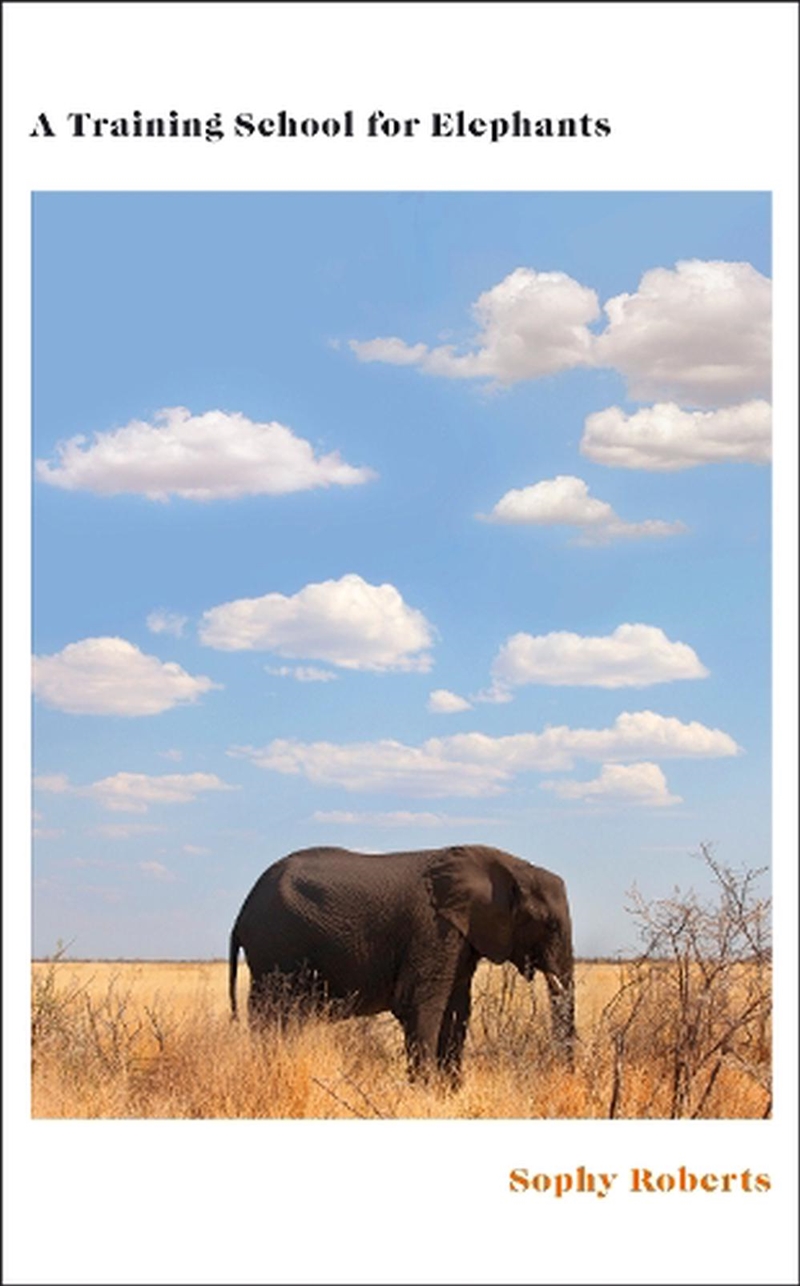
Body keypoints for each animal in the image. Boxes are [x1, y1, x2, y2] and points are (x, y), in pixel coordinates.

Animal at [229, 843, 575, 1084]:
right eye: (549, 925)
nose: (564, 1077)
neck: (510, 867)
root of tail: (242, 913)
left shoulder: (459, 937)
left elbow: (457, 1011)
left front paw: (449, 1093)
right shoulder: (433, 930)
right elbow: (419, 1007)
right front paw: (426, 1093)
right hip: (274, 948)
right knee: (272, 1015)